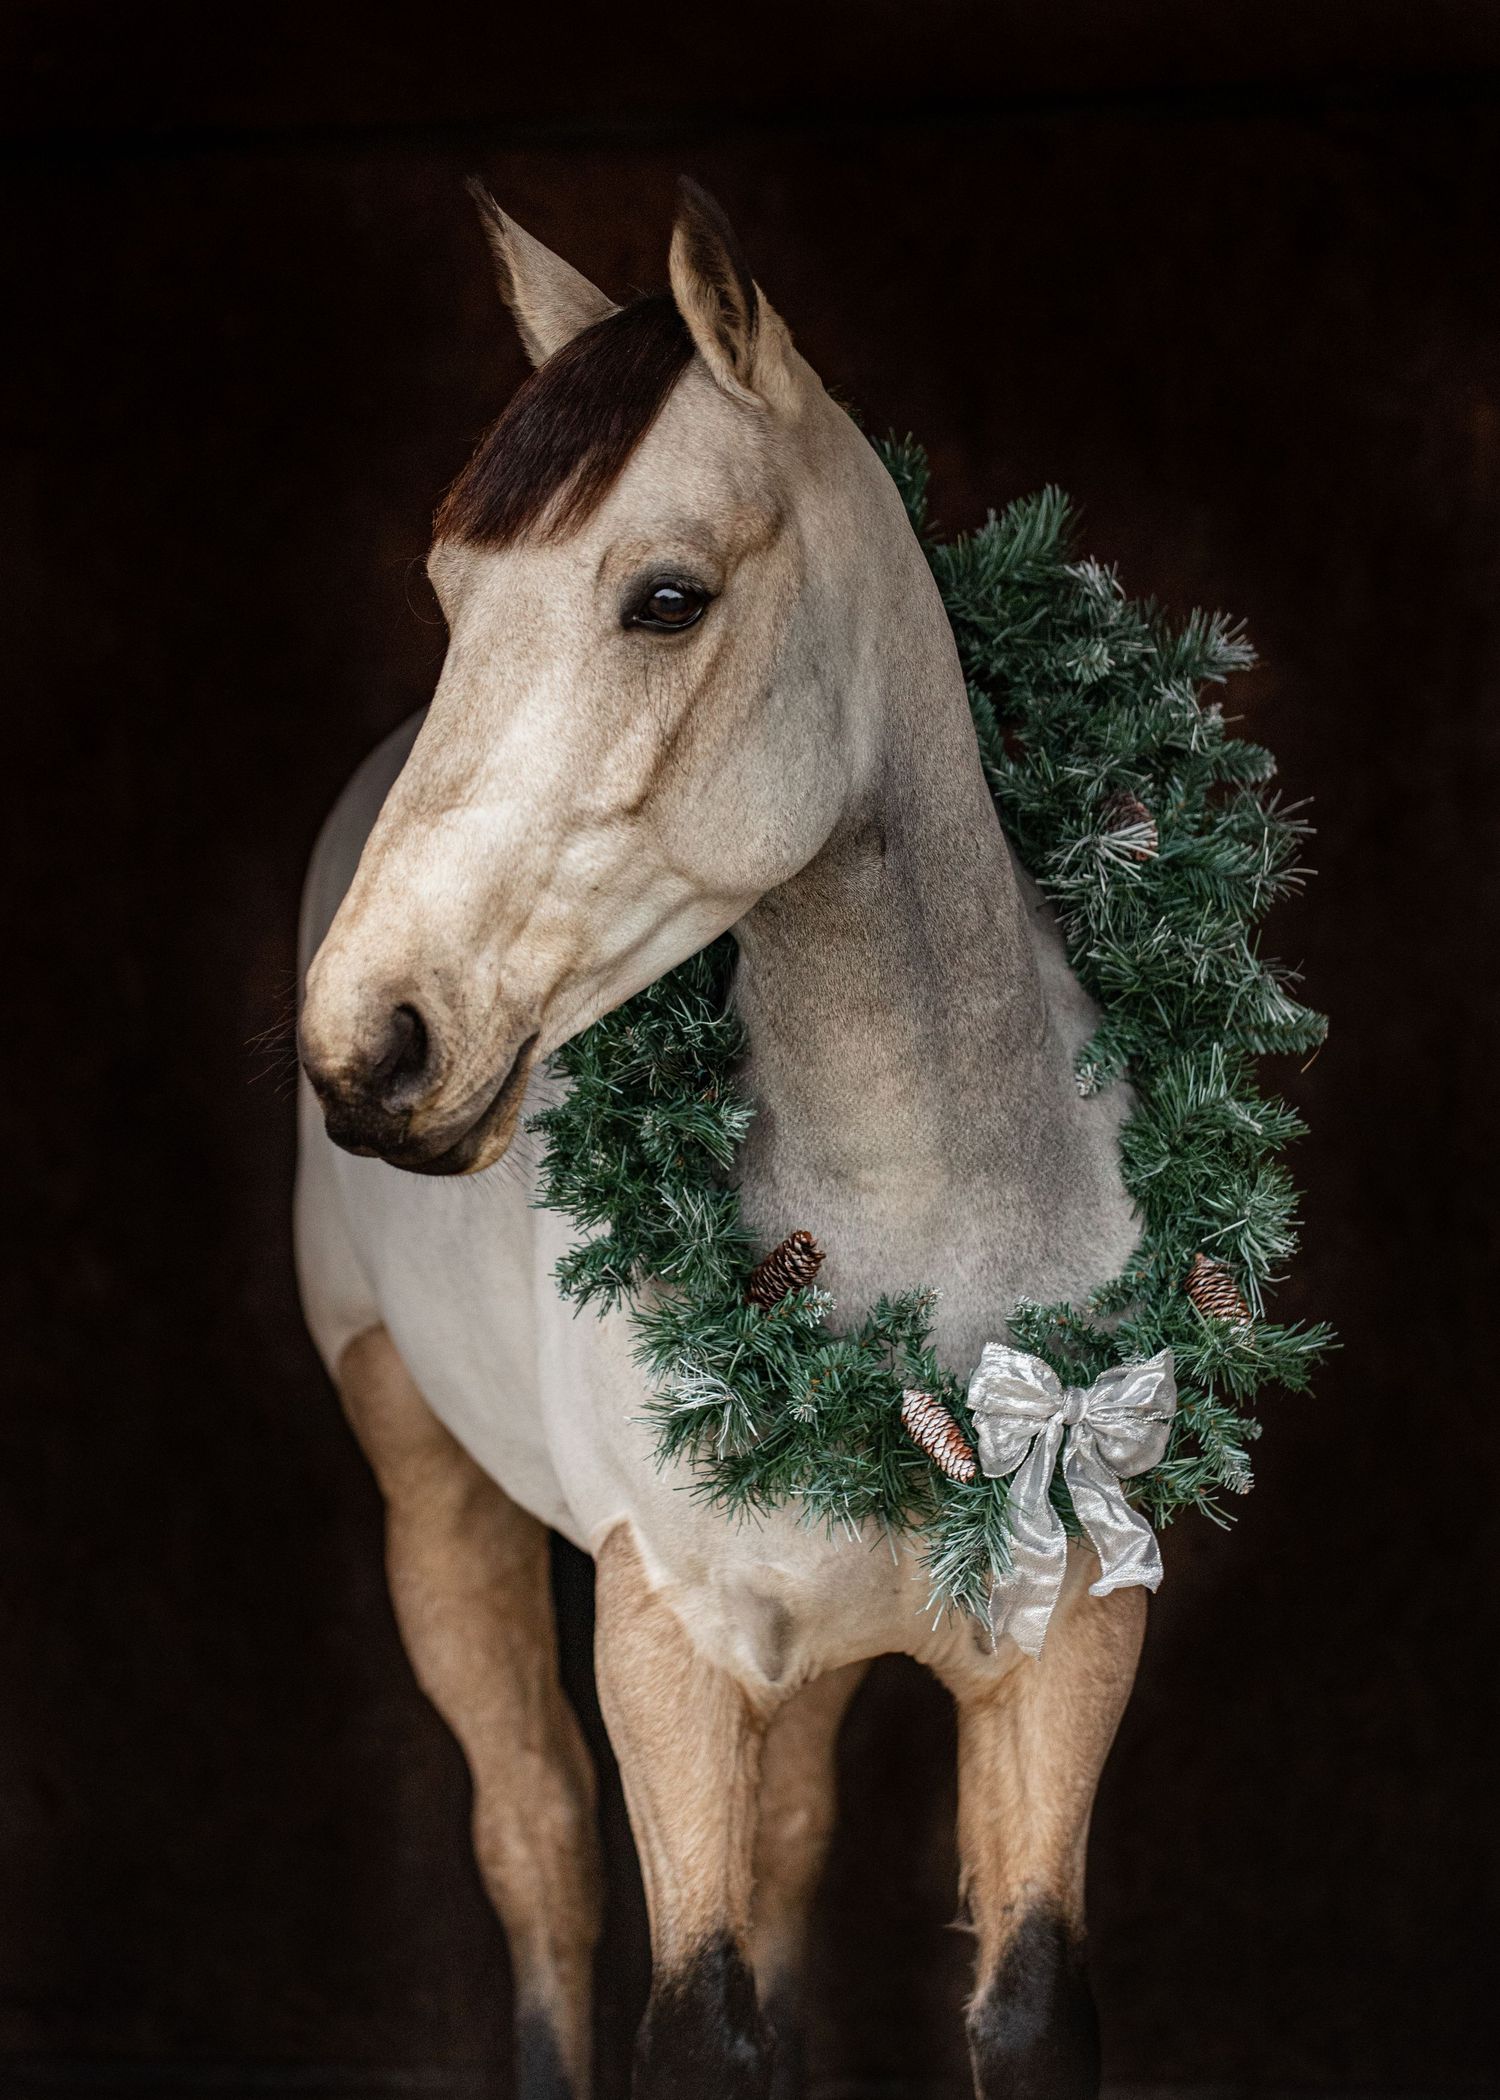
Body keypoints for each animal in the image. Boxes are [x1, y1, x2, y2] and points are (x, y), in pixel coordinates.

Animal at [295, 179, 1145, 2100]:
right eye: (450, 593)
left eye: (665, 599)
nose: (370, 1042)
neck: (921, 1240)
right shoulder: (668, 1649)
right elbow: (696, 2015)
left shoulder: (1062, 1655)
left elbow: (1019, 2005)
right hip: (432, 1497)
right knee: (536, 1843)